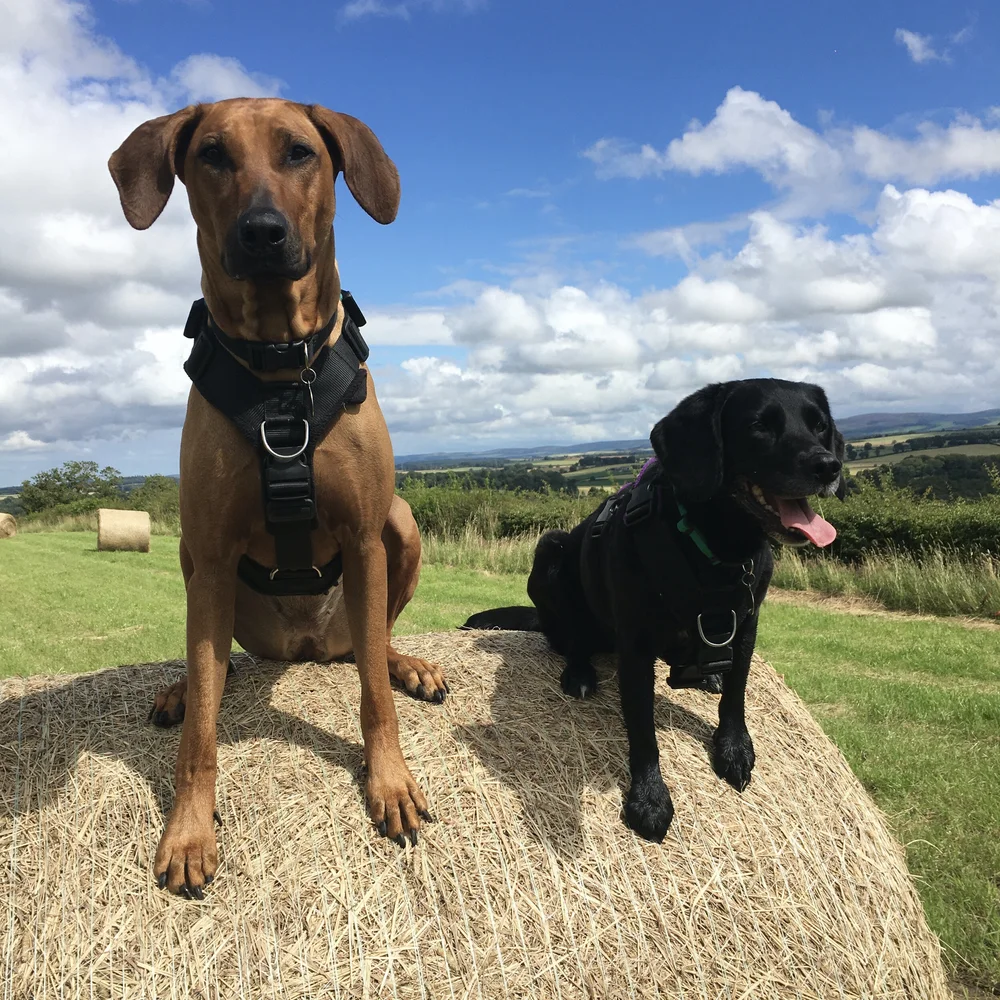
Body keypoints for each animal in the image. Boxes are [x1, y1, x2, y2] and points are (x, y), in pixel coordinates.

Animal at [106, 99, 446, 900]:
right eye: (211, 155)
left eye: (299, 152)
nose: (261, 232)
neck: (279, 368)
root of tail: (307, 648)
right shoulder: (211, 549)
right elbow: (202, 730)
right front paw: (189, 829)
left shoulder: (363, 536)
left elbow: (375, 701)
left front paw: (390, 783)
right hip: (192, 555)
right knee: (214, 667)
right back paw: (181, 686)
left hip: (398, 529)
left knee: (373, 645)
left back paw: (406, 663)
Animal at [460, 378, 844, 840]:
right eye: (759, 426)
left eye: (819, 426)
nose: (829, 467)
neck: (716, 551)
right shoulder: (637, 648)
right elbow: (643, 729)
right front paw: (649, 798)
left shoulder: (747, 623)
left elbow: (737, 691)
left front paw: (734, 748)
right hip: (550, 550)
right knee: (570, 640)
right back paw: (579, 672)